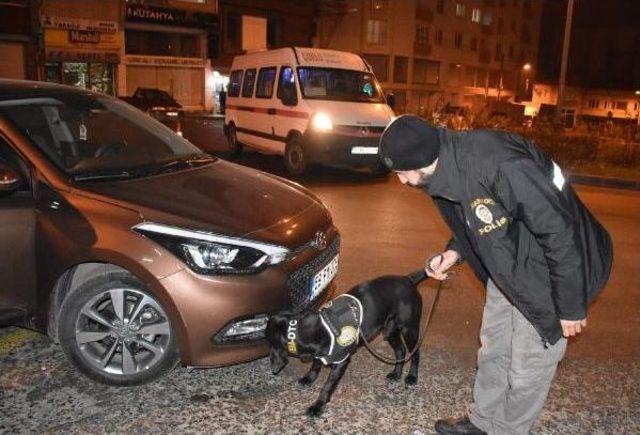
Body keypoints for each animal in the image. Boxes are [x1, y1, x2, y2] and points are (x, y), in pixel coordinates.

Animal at [264, 270, 424, 418]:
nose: (272, 367)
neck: (313, 328)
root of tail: (408, 279)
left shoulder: (341, 362)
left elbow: (327, 386)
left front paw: (317, 406)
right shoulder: (319, 353)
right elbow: (315, 365)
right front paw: (309, 378)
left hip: (409, 329)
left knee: (415, 353)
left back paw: (412, 377)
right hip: (390, 331)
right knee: (401, 351)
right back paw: (396, 374)